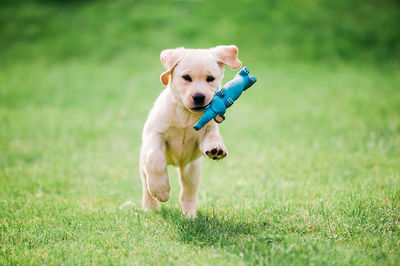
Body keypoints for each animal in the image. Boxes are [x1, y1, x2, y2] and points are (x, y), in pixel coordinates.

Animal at [139, 45, 242, 216]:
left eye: (210, 78)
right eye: (186, 77)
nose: (199, 97)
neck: (185, 114)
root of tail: (176, 164)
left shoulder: (205, 132)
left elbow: (212, 136)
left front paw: (217, 149)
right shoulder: (155, 133)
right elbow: (155, 158)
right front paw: (161, 190)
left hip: (191, 171)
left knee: (188, 193)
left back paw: (190, 215)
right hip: (143, 167)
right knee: (147, 187)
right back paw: (150, 208)